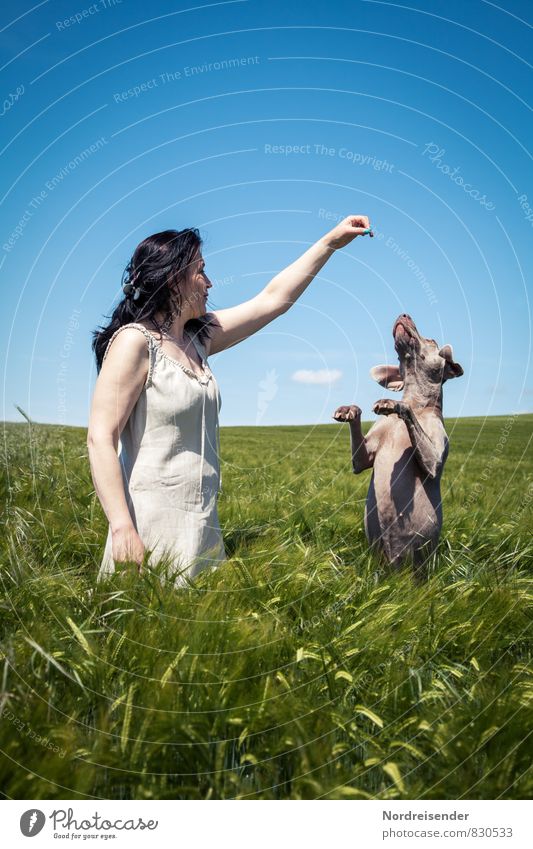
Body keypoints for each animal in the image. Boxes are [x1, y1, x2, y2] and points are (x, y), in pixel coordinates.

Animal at [334, 314, 464, 576]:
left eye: (432, 340)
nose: (404, 315)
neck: (418, 403)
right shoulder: (361, 460)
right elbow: (360, 454)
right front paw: (349, 410)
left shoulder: (434, 461)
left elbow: (408, 416)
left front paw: (393, 404)